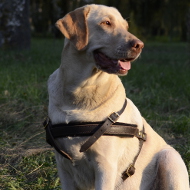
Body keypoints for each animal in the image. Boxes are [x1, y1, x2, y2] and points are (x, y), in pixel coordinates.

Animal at [46, 3, 190, 190]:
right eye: (106, 23)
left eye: (126, 27)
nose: (140, 45)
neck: (80, 92)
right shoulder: (64, 168)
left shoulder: (105, 166)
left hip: (170, 158)